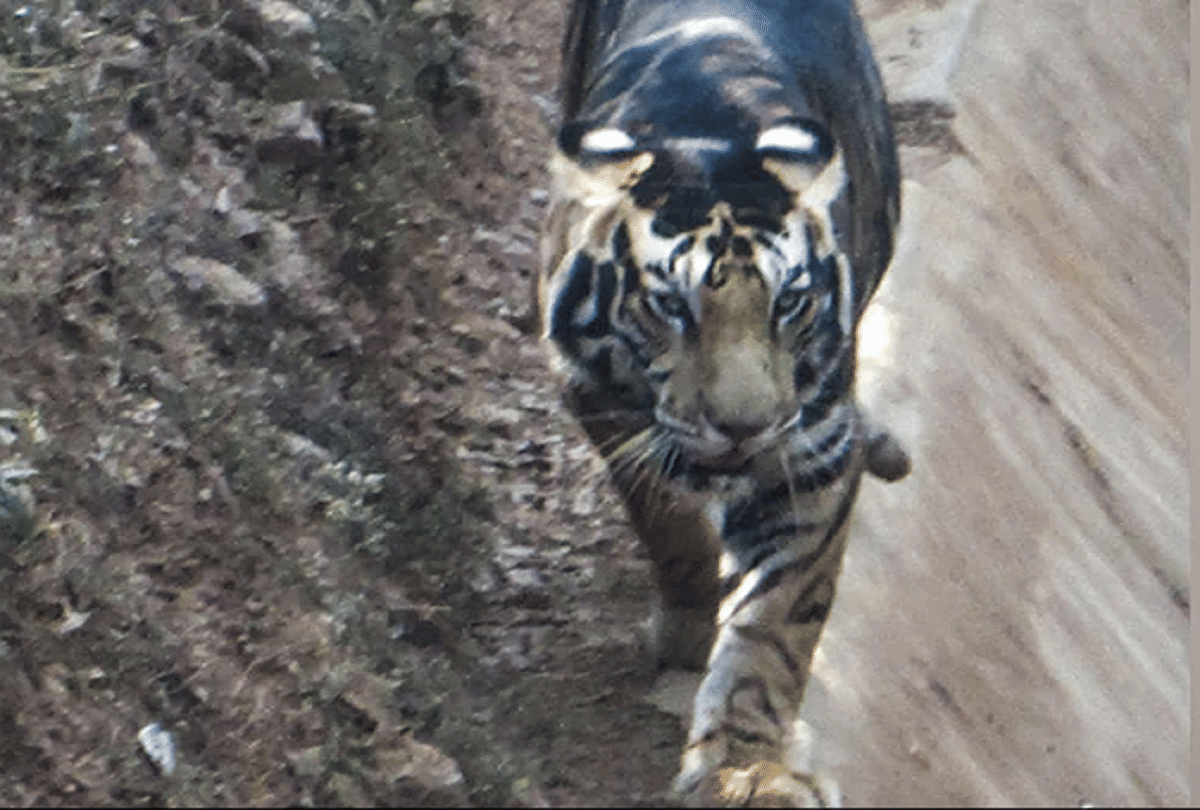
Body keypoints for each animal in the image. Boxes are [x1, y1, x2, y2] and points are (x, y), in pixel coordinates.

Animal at [537, 0, 909, 805]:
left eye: (790, 303)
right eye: (671, 307)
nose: (746, 428)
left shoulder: (810, 453)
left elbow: (772, 628)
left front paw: (747, 769)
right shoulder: (595, 396)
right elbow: (665, 520)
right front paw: (686, 627)